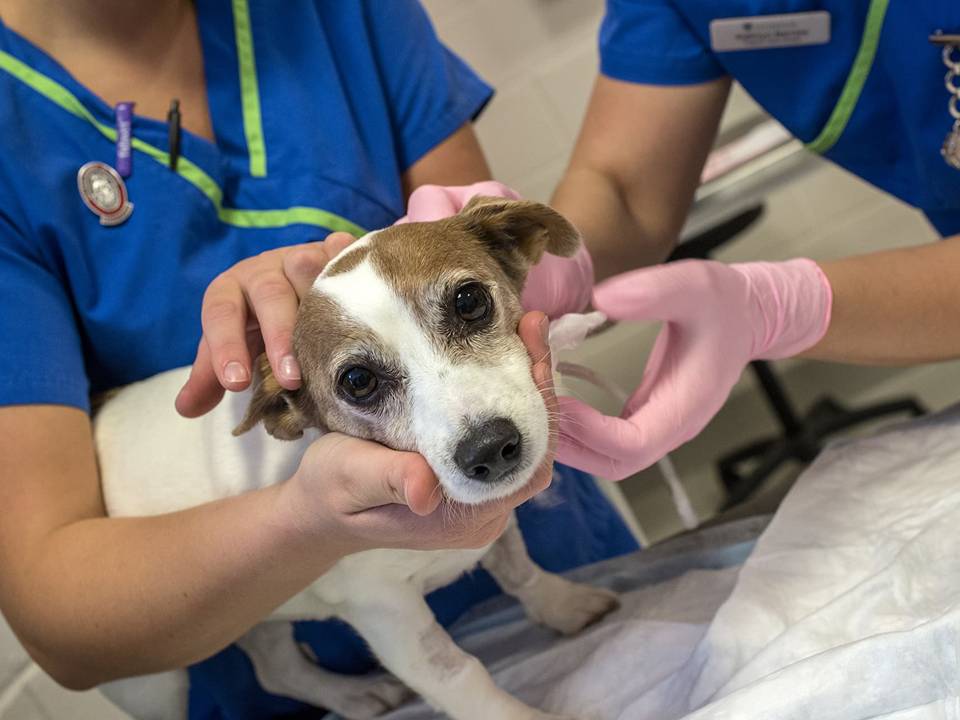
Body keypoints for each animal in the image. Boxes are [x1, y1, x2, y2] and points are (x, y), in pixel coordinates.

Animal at [94, 194, 620, 716]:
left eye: (469, 301)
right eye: (358, 381)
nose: (489, 449)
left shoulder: (497, 534)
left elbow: (522, 574)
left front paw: (562, 605)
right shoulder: (386, 612)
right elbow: (459, 676)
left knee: (275, 668)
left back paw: (350, 695)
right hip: (152, 683)